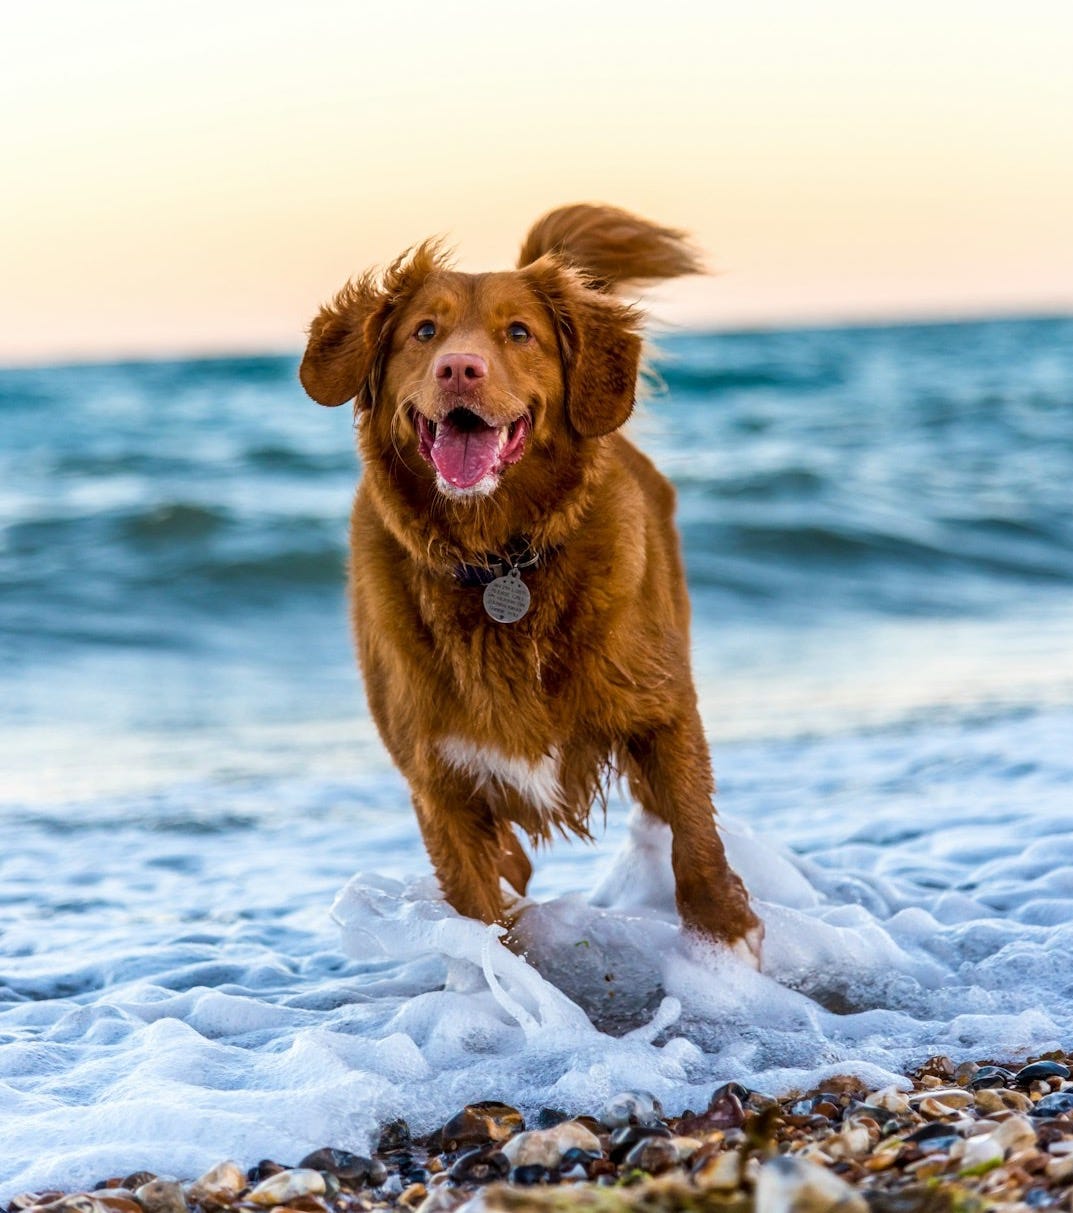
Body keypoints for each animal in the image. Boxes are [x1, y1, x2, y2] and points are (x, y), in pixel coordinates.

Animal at [299, 203, 761, 960]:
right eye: (424, 331)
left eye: (519, 332)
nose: (459, 367)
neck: (499, 559)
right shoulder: (438, 780)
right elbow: (481, 911)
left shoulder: (661, 708)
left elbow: (694, 833)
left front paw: (725, 934)